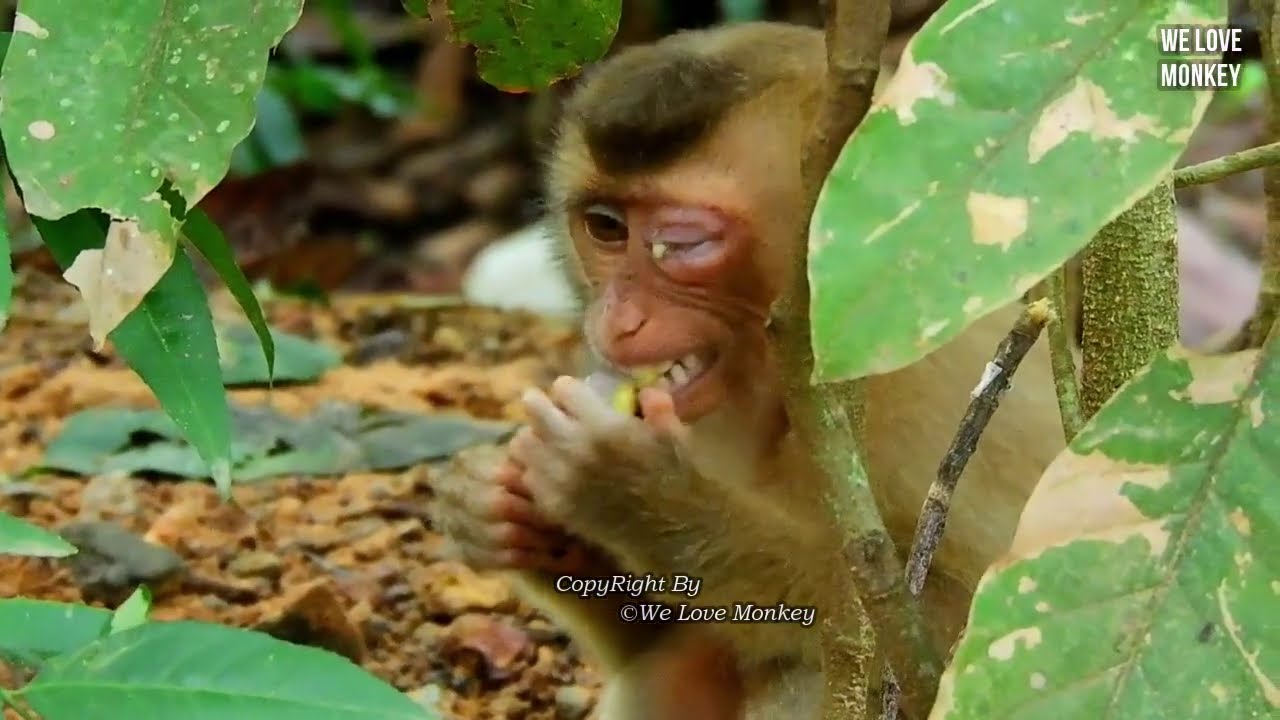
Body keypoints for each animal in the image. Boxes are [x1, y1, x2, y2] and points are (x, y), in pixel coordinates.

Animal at [430, 21, 1066, 720]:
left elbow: (975, 634)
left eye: (683, 246)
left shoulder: (930, 391)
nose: (617, 320)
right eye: (604, 227)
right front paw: (499, 508)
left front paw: (636, 493)